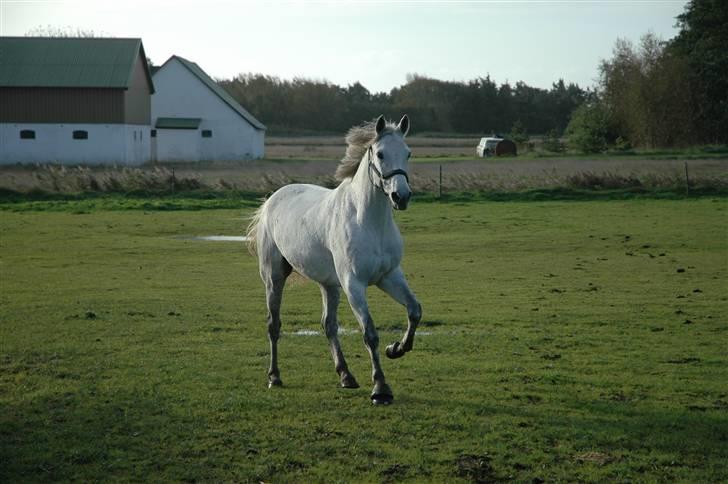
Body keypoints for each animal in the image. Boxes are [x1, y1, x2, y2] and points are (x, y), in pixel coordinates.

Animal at [249, 114, 420, 404]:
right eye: (381, 154)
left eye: (408, 153)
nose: (401, 196)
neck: (369, 222)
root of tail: (272, 199)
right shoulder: (354, 284)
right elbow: (370, 333)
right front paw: (381, 389)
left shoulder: (389, 277)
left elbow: (414, 311)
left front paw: (396, 348)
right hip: (274, 278)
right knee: (274, 325)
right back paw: (274, 377)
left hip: (329, 285)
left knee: (328, 326)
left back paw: (346, 376)